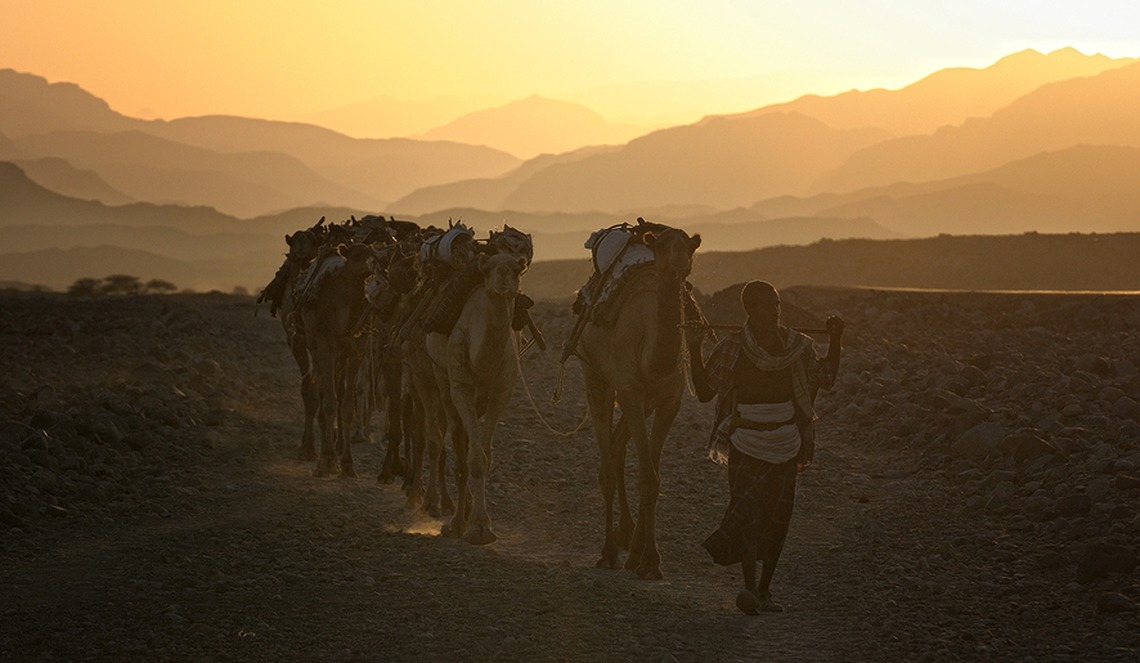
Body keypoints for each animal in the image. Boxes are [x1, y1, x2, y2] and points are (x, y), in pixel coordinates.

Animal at [428, 249, 528, 546]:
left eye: (517, 270)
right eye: (489, 269)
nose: (503, 279)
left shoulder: (501, 393)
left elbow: (485, 456)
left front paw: (482, 525)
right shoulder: (461, 387)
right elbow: (473, 459)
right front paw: (475, 528)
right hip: (441, 378)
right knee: (457, 443)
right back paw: (456, 522)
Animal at [574, 225, 697, 578]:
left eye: (689, 248)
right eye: (662, 247)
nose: (677, 266)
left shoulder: (669, 401)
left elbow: (652, 476)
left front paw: (647, 558)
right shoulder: (629, 389)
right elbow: (645, 474)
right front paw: (643, 558)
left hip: (639, 402)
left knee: (618, 448)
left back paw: (627, 537)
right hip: (595, 376)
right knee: (607, 460)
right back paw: (609, 552)